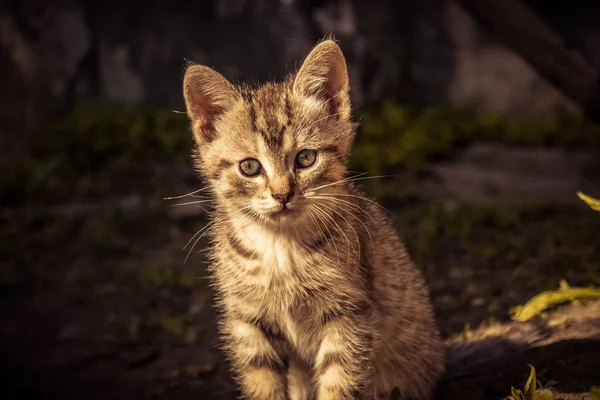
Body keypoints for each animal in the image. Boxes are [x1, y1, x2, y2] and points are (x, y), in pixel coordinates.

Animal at [183, 39, 446, 400]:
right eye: (249, 166)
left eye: (306, 158)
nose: (282, 194)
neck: (280, 248)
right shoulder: (248, 321)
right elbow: (263, 384)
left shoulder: (348, 317)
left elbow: (339, 383)